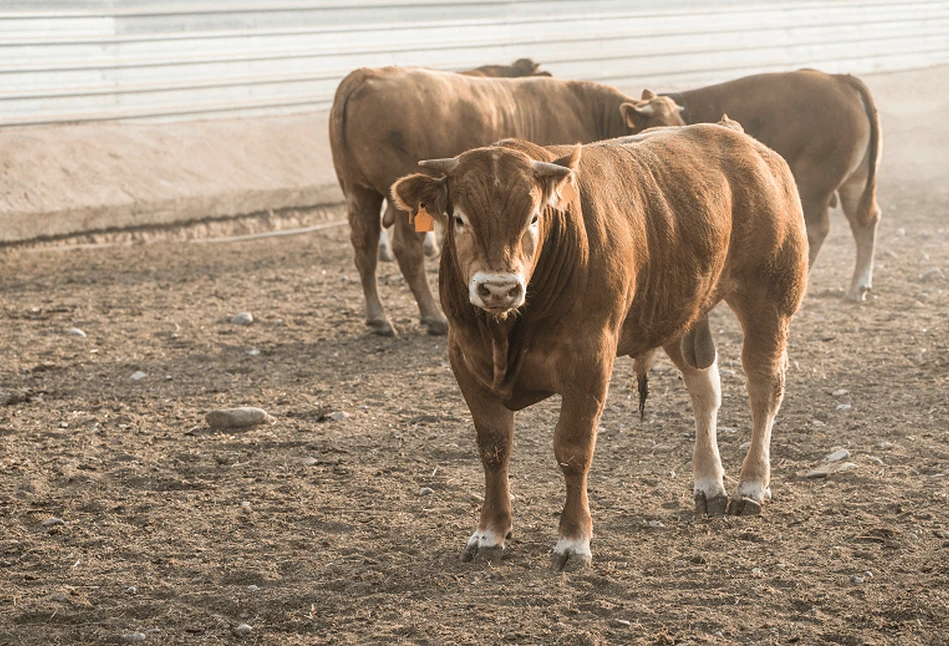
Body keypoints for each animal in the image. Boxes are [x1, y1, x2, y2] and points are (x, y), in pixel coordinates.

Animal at [328, 68, 652, 336]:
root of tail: (365, 74)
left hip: (359, 193)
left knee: (365, 248)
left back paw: (378, 318)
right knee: (406, 251)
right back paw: (433, 317)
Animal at [392, 123, 808, 572]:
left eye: (534, 217)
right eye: (459, 219)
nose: (499, 289)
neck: (507, 332)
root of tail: (740, 136)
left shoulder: (588, 362)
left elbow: (573, 451)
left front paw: (573, 541)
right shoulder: (466, 360)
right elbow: (494, 448)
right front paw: (490, 533)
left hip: (770, 298)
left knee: (764, 388)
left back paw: (751, 486)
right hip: (681, 313)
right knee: (705, 389)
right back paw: (709, 485)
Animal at [624, 69, 884, 302]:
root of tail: (840, 80)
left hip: (816, 183)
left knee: (816, 229)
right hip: (855, 180)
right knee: (864, 220)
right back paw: (858, 287)